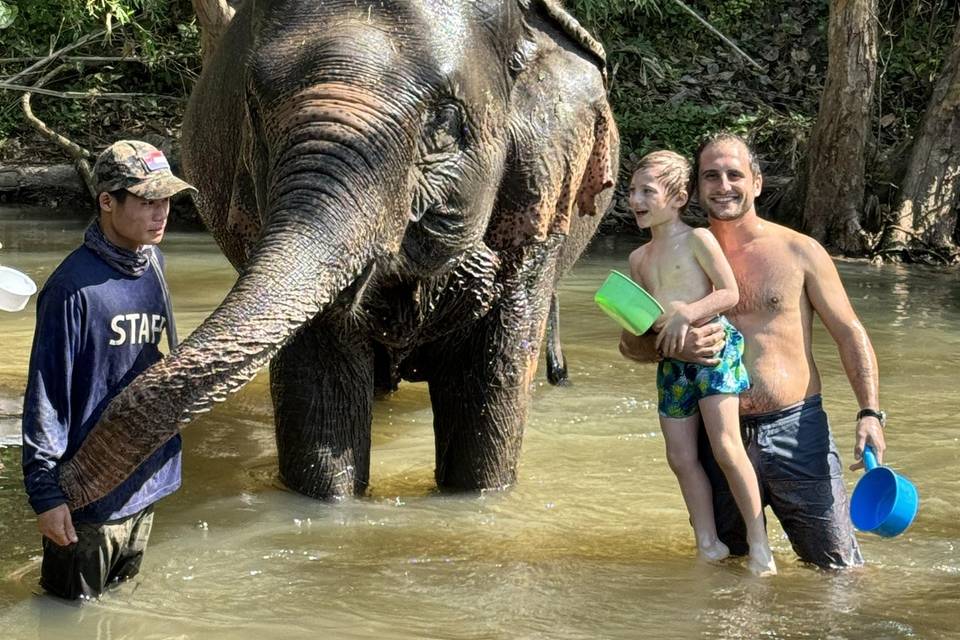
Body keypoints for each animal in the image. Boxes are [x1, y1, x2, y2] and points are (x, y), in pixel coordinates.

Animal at [60, 0, 620, 508]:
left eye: (443, 121)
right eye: (254, 109)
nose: (59, 485)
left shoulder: (536, 212)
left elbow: (490, 384)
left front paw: (479, 494)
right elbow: (321, 386)